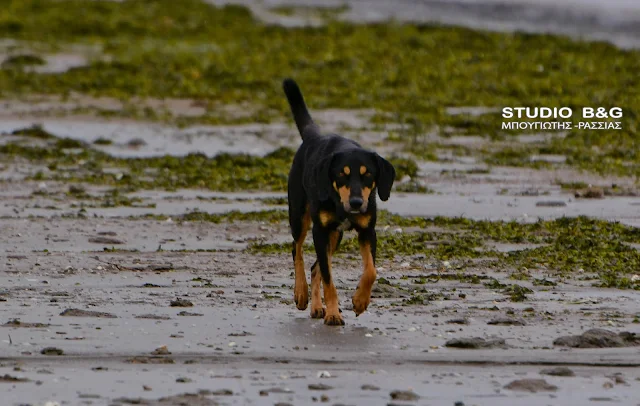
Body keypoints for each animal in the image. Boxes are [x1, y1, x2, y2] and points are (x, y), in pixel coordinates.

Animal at [284, 78, 396, 326]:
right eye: (341, 175)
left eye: (367, 175)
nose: (356, 202)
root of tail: (313, 136)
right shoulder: (320, 231)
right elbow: (329, 279)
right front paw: (334, 314)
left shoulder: (367, 231)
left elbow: (371, 271)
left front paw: (360, 301)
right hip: (300, 216)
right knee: (297, 249)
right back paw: (301, 293)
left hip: (336, 235)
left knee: (315, 266)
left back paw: (317, 307)